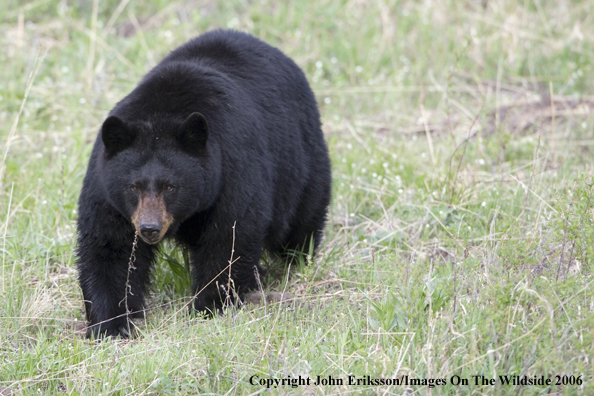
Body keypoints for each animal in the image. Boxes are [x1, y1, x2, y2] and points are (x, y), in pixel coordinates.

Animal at [76, 29, 330, 338]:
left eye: (170, 186)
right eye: (133, 186)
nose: (149, 228)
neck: (161, 114)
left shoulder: (232, 171)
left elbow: (228, 239)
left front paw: (209, 306)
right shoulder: (106, 192)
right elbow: (110, 248)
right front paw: (110, 324)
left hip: (301, 161)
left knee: (301, 221)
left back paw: (296, 260)